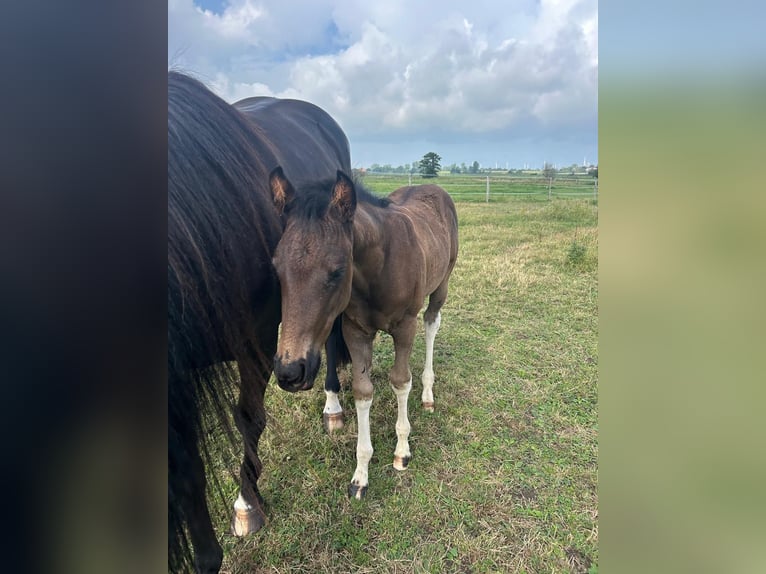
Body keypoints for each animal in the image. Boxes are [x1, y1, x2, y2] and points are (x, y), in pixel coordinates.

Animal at [268, 168, 459, 499]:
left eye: (337, 271)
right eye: (277, 268)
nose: (290, 371)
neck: (378, 268)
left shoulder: (404, 327)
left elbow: (400, 381)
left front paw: (402, 451)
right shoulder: (355, 330)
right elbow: (362, 391)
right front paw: (360, 475)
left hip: (442, 283)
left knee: (432, 322)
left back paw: (428, 394)